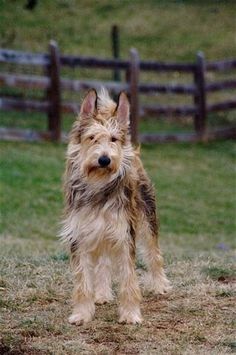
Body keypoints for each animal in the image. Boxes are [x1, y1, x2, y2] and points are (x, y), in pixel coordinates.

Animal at [59, 89, 170, 326]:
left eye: (113, 139)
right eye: (92, 138)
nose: (104, 159)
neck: (98, 185)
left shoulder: (123, 232)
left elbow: (129, 278)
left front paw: (130, 314)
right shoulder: (80, 234)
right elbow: (83, 280)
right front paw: (82, 313)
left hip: (147, 217)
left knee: (154, 254)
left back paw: (159, 285)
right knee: (103, 264)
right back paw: (101, 294)